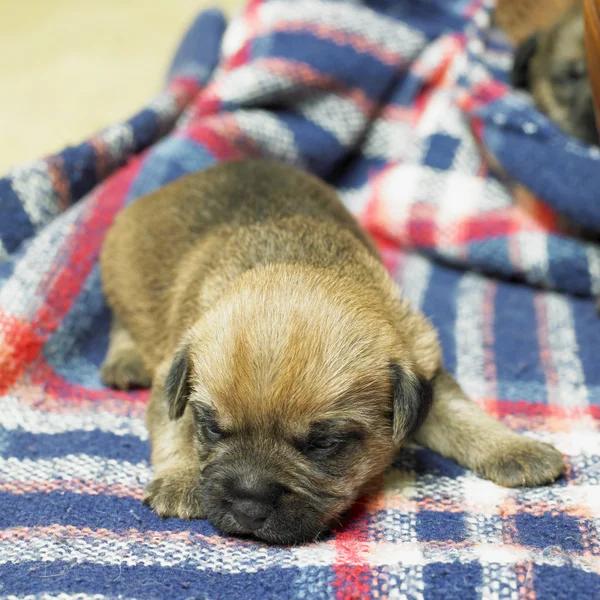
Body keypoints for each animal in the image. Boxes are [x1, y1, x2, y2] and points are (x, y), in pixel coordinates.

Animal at [99, 162, 568, 548]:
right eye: (212, 428)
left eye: (324, 444)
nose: (248, 509)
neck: (301, 260)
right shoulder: (174, 371)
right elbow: (172, 424)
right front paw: (180, 479)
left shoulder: (425, 366)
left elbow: (462, 414)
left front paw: (515, 448)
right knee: (120, 322)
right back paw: (124, 361)